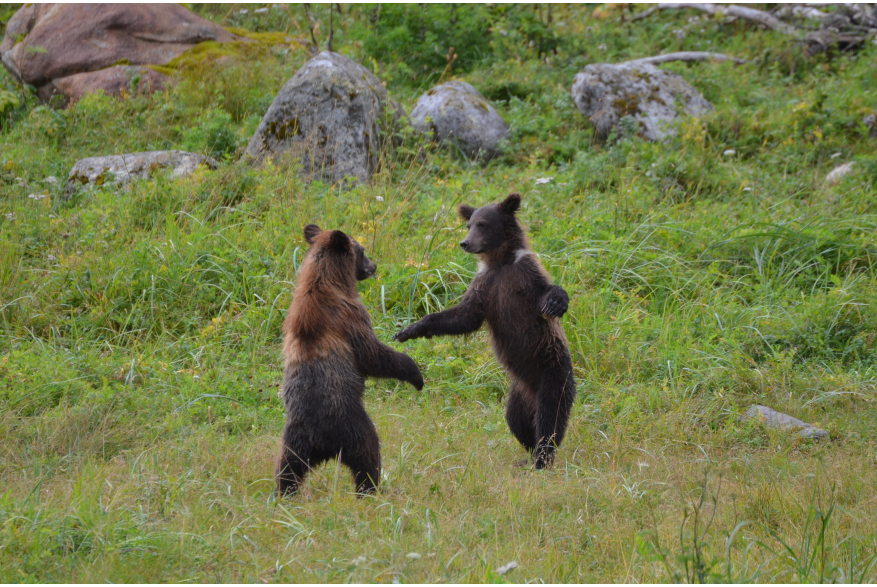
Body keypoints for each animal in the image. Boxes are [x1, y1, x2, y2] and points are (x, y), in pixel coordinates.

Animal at [276, 224, 422, 496]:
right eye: (362, 250)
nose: (374, 266)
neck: (330, 281)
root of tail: (323, 447)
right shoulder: (349, 316)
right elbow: (372, 354)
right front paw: (415, 374)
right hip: (352, 425)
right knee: (369, 454)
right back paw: (370, 489)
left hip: (294, 441)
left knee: (287, 468)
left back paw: (283, 494)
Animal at [392, 195, 572, 470]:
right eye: (469, 225)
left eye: (483, 224)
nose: (465, 243)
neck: (500, 262)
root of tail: (532, 392)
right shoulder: (485, 288)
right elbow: (463, 317)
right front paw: (409, 330)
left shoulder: (523, 277)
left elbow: (545, 291)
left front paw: (557, 301)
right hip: (518, 393)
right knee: (517, 421)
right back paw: (527, 455)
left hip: (552, 373)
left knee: (549, 419)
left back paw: (542, 459)